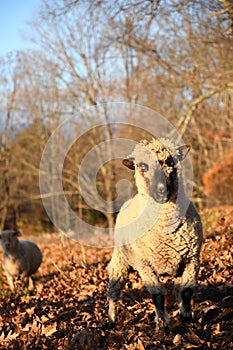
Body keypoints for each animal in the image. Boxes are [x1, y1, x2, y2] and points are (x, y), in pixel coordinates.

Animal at [108, 138, 203, 330]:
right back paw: (111, 319)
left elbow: (186, 291)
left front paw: (186, 316)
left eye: (170, 161)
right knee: (114, 289)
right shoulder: (145, 266)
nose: (162, 190)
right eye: (143, 166)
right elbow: (158, 297)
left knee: (177, 289)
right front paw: (163, 324)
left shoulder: (192, 260)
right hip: (121, 259)